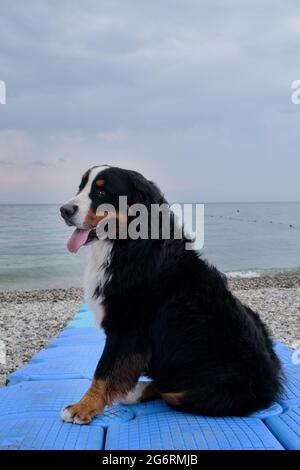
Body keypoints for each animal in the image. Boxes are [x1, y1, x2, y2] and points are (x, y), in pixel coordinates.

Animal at [59, 166, 282, 426]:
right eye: (80, 188)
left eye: (101, 191)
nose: (64, 210)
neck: (127, 247)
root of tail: (273, 382)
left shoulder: (127, 329)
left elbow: (103, 371)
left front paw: (83, 407)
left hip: (204, 391)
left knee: (169, 391)